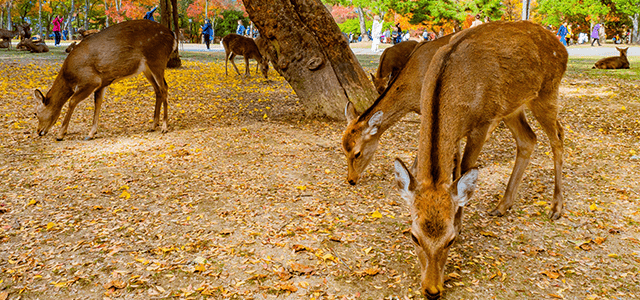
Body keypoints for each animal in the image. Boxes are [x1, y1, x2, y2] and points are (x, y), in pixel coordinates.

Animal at [33, 19, 176, 141]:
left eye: (35, 113)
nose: (39, 131)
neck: (69, 79)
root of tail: (172, 35)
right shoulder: (102, 82)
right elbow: (98, 103)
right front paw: (91, 133)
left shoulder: (91, 81)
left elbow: (72, 102)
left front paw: (60, 134)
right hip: (146, 69)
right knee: (158, 89)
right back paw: (153, 125)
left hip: (157, 59)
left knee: (164, 88)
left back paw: (164, 127)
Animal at [392, 20, 568, 298]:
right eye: (414, 236)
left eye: (450, 240)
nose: (432, 290)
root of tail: (563, 49)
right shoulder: (456, 134)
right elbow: (448, 171)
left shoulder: (483, 123)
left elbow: (464, 171)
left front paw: (460, 221)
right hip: (513, 107)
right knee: (528, 139)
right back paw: (503, 205)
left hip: (546, 93)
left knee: (558, 136)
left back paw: (556, 207)